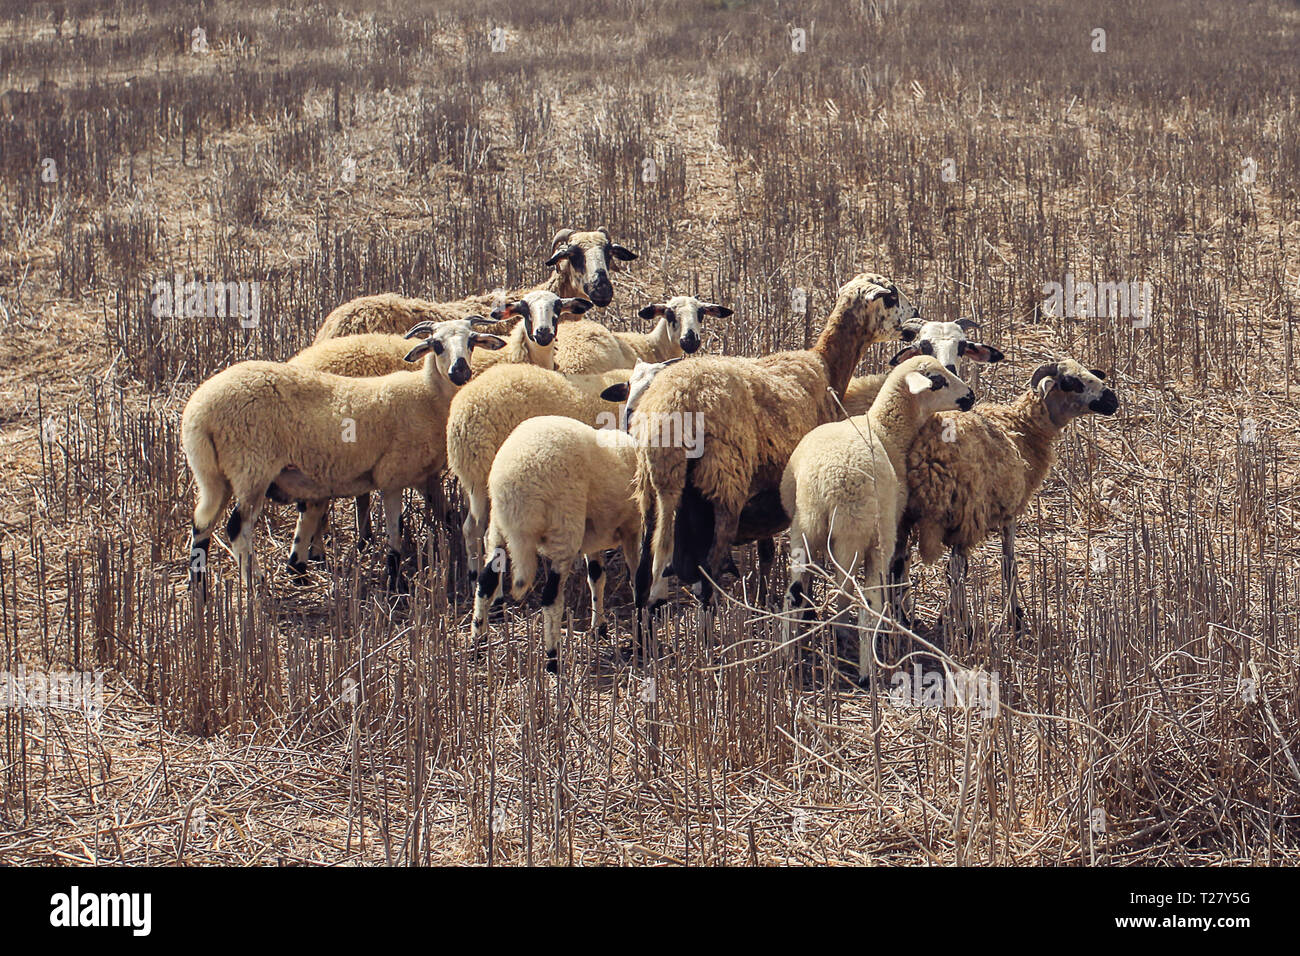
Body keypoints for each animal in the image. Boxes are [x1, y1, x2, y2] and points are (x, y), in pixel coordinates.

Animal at [182, 318, 506, 591]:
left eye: (472, 341)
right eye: (437, 344)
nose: (460, 371)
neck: (427, 394)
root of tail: (199, 412)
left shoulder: (421, 476)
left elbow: (447, 515)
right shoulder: (393, 474)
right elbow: (395, 529)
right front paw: (395, 578)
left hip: (213, 475)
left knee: (201, 523)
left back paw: (198, 587)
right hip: (251, 469)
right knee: (237, 527)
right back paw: (256, 583)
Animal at [631, 272, 920, 614]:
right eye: (891, 296)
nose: (915, 311)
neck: (826, 365)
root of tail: (674, 406)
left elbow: (767, 554)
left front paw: (763, 597)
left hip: (649, 486)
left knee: (642, 574)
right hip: (724, 484)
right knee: (709, 574)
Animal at [780, 356, 976, 683]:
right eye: (937, 381)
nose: (970, 396)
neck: (885, 429)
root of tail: (825, 485)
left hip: (804, 529)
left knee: (793, 594)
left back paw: (785, 660)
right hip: (864, 534)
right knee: (865, 604)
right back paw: (866, 675)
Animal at [901, 358, 1118, 635]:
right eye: (1072, 382)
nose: (1112, 400)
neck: (1022, 427)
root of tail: (924, 453)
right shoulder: (1009, 512)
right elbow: (1008, 564)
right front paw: (1015, 618)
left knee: (900, 563)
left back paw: (904, 618)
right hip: (966, 512)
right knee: (956, 571)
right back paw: (963, 625)